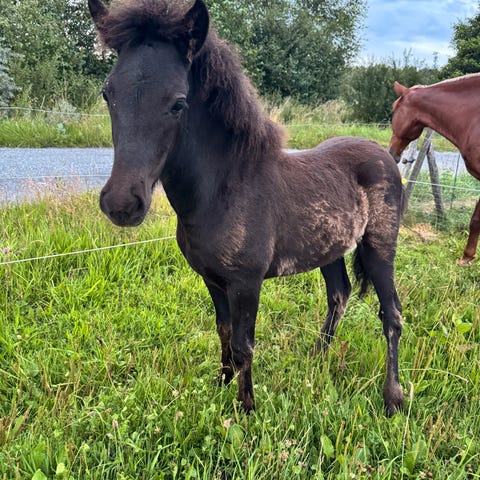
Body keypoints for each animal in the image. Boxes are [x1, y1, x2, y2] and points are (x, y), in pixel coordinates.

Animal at [88, 0, 405, 416]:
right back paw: (316, 359)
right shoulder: (212, 279)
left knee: (392, 314)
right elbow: (223, 332)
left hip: (380, 248)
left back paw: (393, 398)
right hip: (330, 248)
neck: (223, 192)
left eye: (178, 103)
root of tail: (383, 154)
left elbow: (243, 346)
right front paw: (221, 385)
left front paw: (246, 409)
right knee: (339, 294)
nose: (122, 204)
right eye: (108, 93)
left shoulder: (246, 283)